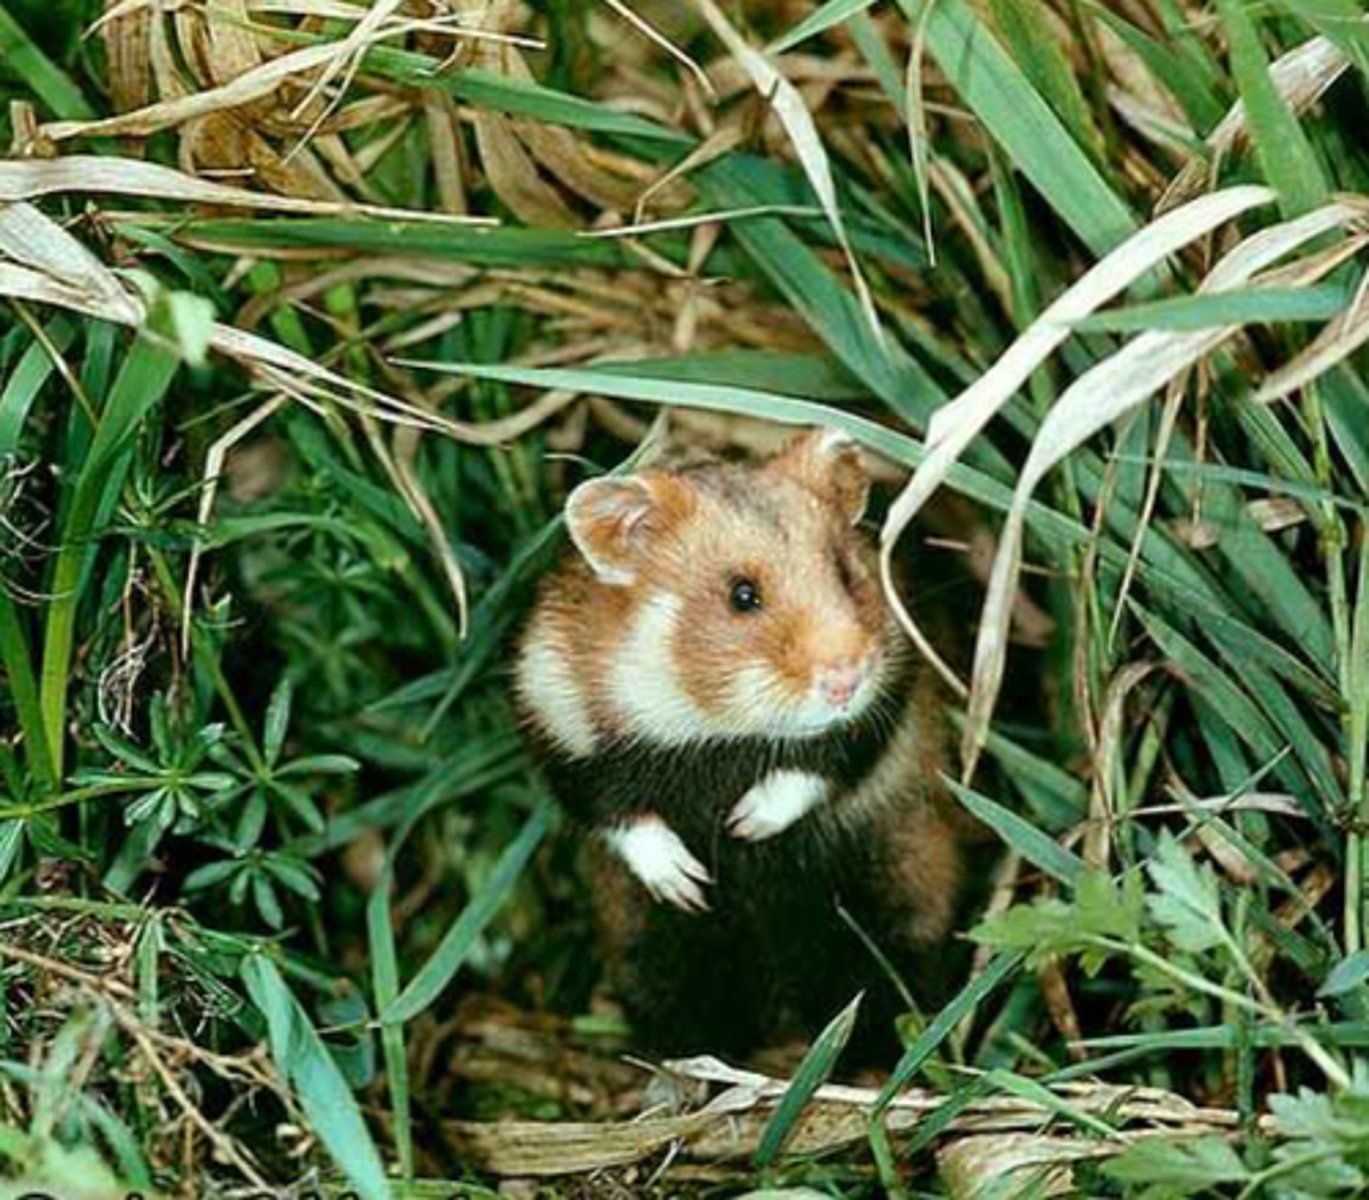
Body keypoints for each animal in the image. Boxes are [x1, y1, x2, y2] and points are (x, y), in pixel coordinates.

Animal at [514, 427, 977, 1058]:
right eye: (742, 594)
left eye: (846, 572)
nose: (846, 679)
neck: (711, 726)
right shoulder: (555, 716)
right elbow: (611, 809)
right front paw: (686, 881)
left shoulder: (893, 687)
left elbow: (829, 758)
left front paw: (745, 824)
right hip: (651, 945)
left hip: (898, 886)